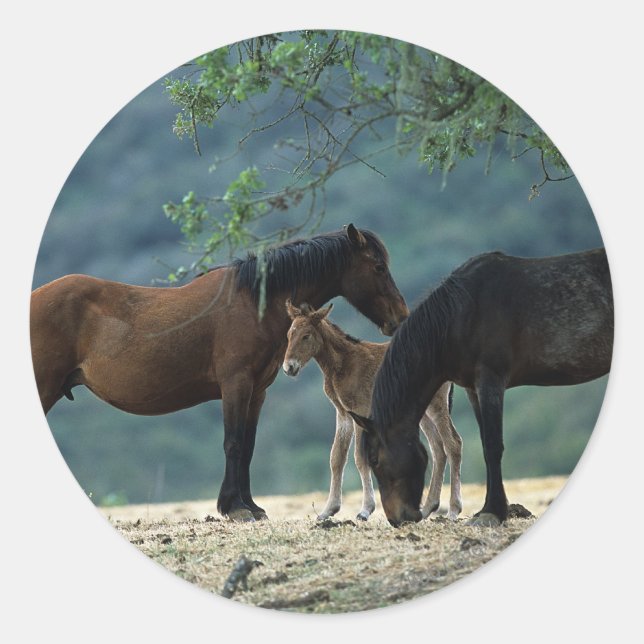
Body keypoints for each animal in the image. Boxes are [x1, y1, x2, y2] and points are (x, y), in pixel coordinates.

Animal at [30, 224, 409, 522]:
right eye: (378, 266)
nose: (401, 317)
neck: (253, 302)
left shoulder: (257, 392)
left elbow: (248, 446)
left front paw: (251, 505)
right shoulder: (235, 385)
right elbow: (233, 442)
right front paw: (234, 507)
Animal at [282, 300, 463, 521]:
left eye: (306, 335)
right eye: (289, 334)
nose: (289, 368)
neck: (343, 364)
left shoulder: (361, 410)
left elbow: (360, 458)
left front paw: (365, 510)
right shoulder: (343, 414)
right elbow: (336, 458)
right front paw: (328, 510)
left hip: (436, 405)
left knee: (453, 443)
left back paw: (453, 510)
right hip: (423, 411)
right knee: (438, 448)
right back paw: (428, 508)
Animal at [350, 248, 613, 527]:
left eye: (375, 459)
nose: (397, 518)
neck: (461, 315)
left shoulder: (490, 380)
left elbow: (492, 445)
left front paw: (492, 511)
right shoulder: (473, 389)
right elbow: (485, 441)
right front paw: (493, 508)